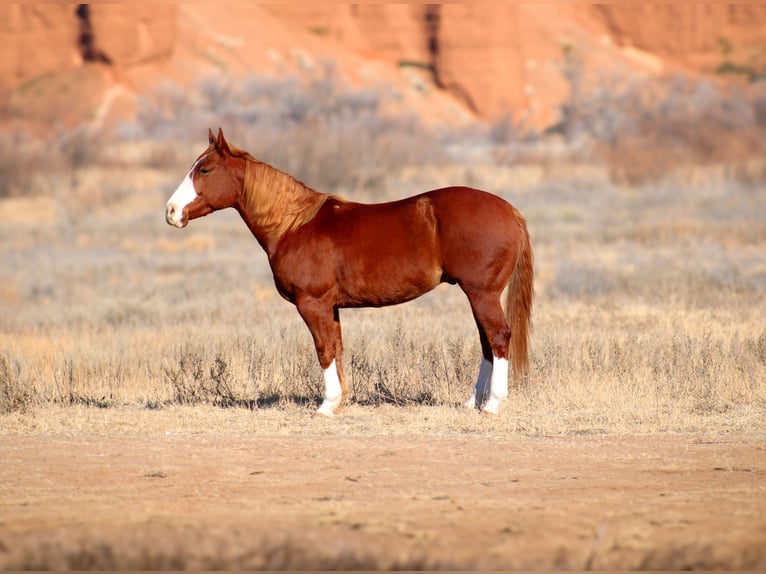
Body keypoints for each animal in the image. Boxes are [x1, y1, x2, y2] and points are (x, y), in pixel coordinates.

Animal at [166, 128, 536, 416]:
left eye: (205, 170)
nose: (171, 212)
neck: (294, 225)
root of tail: (509, 210)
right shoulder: (331, 308)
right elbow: (337, 347)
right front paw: (339, 400)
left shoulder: (313, 304)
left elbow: (324, 349)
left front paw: (327, 405)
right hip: (478, 295)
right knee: (487, 342)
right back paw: (473, 402)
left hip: (482, 293)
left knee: (498, 337)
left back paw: (492, 404)